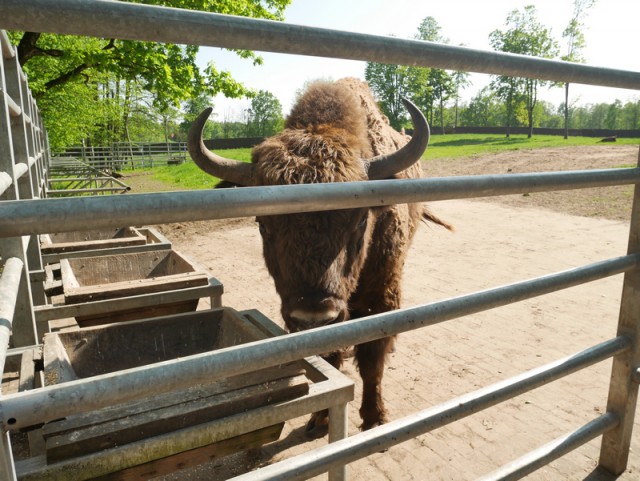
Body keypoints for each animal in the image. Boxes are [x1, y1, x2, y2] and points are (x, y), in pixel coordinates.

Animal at [189, 78, 450, 436]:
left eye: (360, 219)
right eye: (263, 223)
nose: (313, 315)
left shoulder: (381, 297)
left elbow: (372, 357)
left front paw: (374, 418)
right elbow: (331, 357)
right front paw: (320, 419)